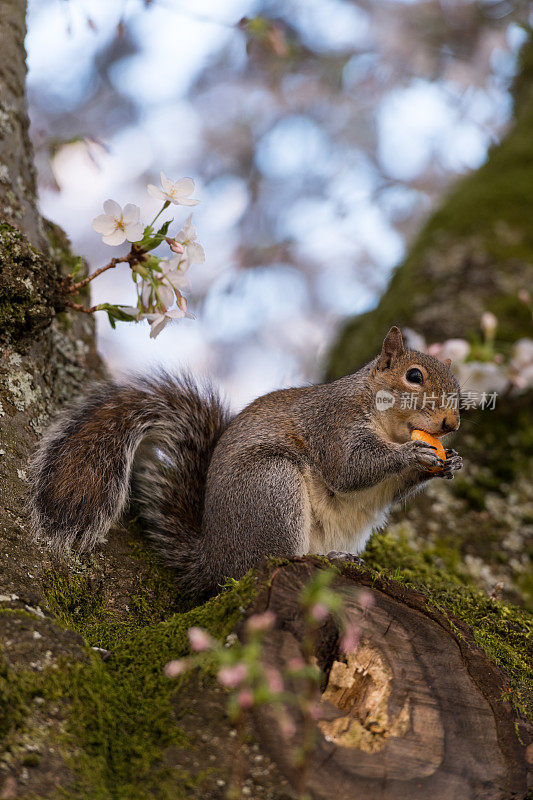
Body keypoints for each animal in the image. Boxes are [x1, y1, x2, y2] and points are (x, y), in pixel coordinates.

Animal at [30, 324, 462, 592]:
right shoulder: (332, 426)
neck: (388, 425)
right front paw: (412, 453)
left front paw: (450, 463)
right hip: (271, 486)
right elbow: (350, 469)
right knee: (269, 561)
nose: (452, 422)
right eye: (414, 376)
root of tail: (214, 560)